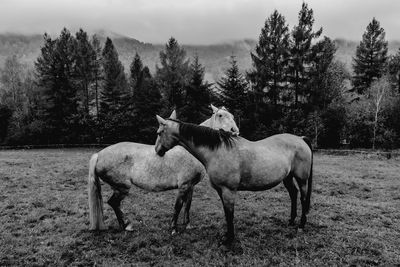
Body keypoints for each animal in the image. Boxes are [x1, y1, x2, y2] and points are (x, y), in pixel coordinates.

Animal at [88, 105, 238, 236]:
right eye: (220, 115)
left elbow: (187, 205)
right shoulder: (184, 186)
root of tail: (99, 154)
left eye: (232, 115)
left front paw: (188, 225)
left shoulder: (191, 186)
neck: (189, 152)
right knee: (113, 203)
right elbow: (178, 206)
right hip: (123, 187)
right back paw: (126, 226)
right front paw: (174, 229)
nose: (235, 131)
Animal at [155, 116, 314, 246]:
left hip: (302, 179)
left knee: (303, 198)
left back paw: (301, 226)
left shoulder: (228, 190)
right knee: (293, 194)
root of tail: (301, 139)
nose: (158, 151)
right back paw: (291, 221)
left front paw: (229, 240)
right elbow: (227, 214)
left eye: (159, 132)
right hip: (288, 177)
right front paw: (227, 235)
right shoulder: (221, 191)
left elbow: (230, 214)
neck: (217, 151)